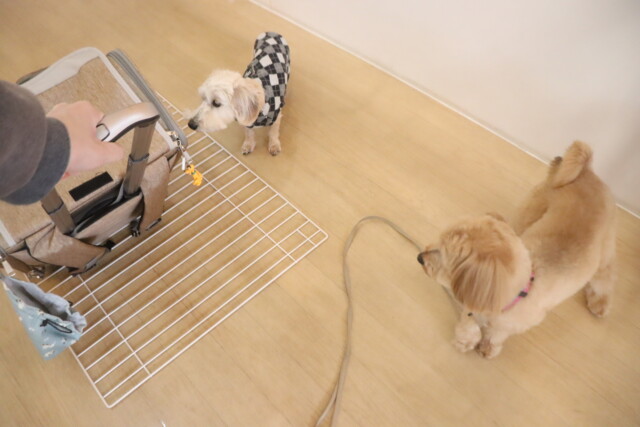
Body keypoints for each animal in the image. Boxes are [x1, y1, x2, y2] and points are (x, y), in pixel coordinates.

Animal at [417, 141, 617, 358]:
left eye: (444, 255)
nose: (420, 257)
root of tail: (588, 172)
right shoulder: (474, 306)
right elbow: (469, 325)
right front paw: (465, 341)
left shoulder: (507, 324)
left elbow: (496, 334)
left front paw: (487, 347)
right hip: (528, 214)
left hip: (604, 249)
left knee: (605, 277)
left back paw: (600, 303)